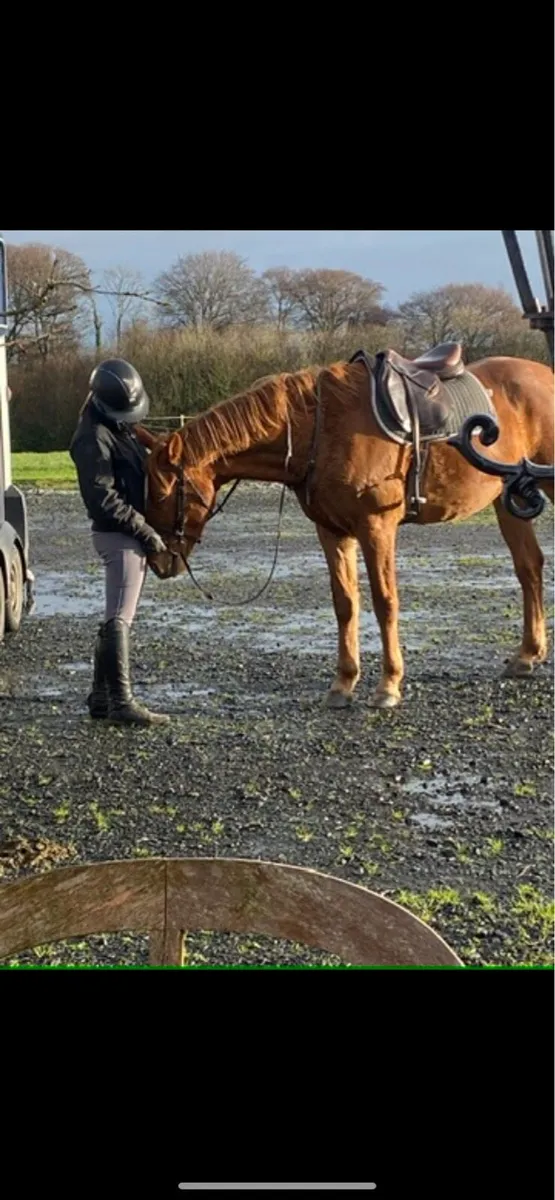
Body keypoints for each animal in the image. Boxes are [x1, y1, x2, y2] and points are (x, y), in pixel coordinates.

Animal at [136, 344, 554, 710]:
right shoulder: (332, 531)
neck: (321, 428)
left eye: (164, 491)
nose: (158, 561)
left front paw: (388, 685)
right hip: (508, 501)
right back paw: (527, 655)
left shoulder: (376, 527)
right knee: (529, 568)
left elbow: (385, 602)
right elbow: (345, 603)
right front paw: (343, 683)